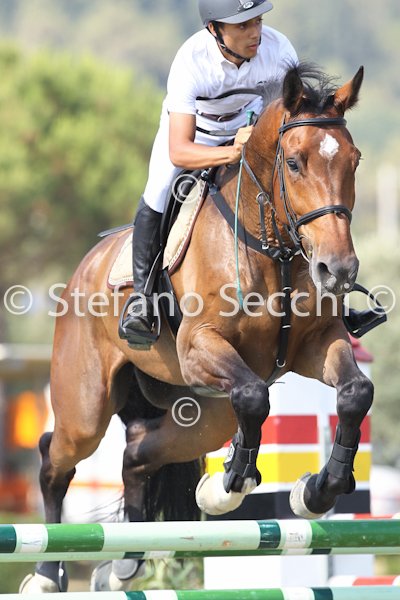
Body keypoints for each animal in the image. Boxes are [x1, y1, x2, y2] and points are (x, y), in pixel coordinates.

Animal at [20, 62, 374, 593]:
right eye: (294, 163)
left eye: (353, 161)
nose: (338, 270)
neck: (274, 251)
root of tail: (87, 263)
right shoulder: (199, 347)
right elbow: (254, 396)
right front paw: (233, 483)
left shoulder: (317, 343)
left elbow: (355, 393)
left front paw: (314, 491)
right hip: (86, 408)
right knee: (54, 458)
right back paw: (46, 576)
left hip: (204, 416)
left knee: (137, 453)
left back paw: (125, 565)